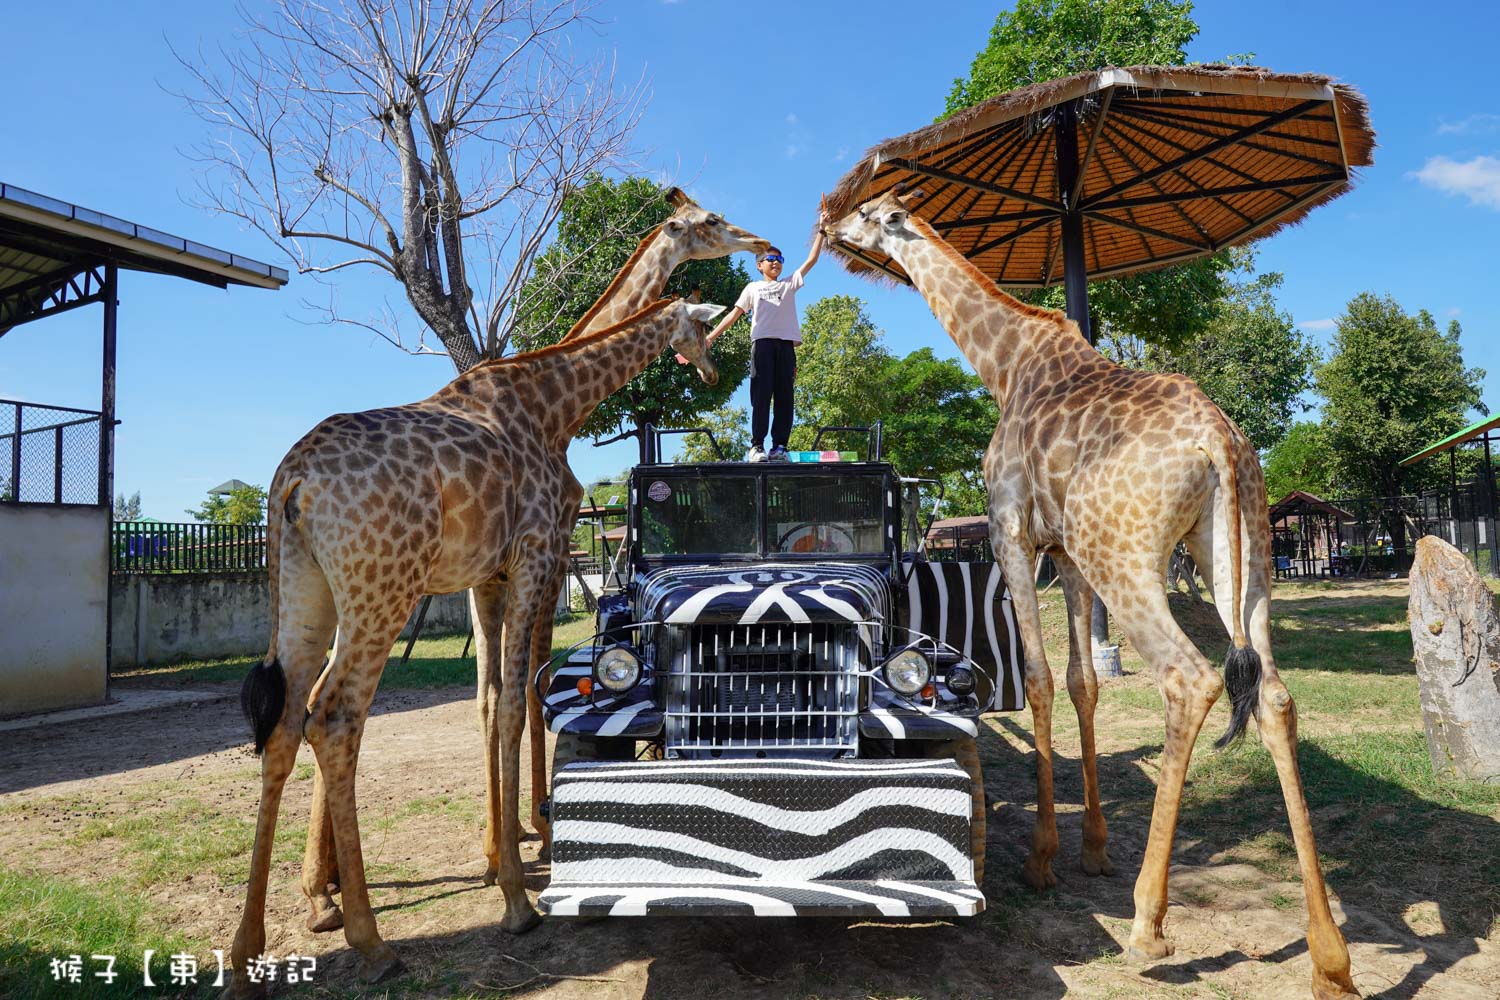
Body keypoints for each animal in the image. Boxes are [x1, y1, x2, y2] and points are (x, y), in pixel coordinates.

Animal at [225, 299, 729, 995]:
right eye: (702, 324)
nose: (712, 370)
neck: (552, 405)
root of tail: (291, 480)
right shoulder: (536, 556)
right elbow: (519, 701)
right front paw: (518, 895)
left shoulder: (493, 574)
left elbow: (497, 698)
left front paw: (511, 853)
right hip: (383, 589)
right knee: (332, 717)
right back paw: (371, 942)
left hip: (306, 590)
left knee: (282, 724)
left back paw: (250, 954)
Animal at [828, 189, 1368, 1000]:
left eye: (867, 210)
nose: (827, 228)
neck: (1005, 363)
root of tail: (1219, 441)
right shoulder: (1069, 556)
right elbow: (1085, 681)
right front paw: (1091, 848)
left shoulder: (1014, 534)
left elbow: (1042, 680)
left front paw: (1043, 860)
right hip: (1237, 556)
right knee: (1273, 694)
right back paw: (1329, 958)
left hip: (1130, 554)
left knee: (1189, 677)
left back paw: (1148, 925)